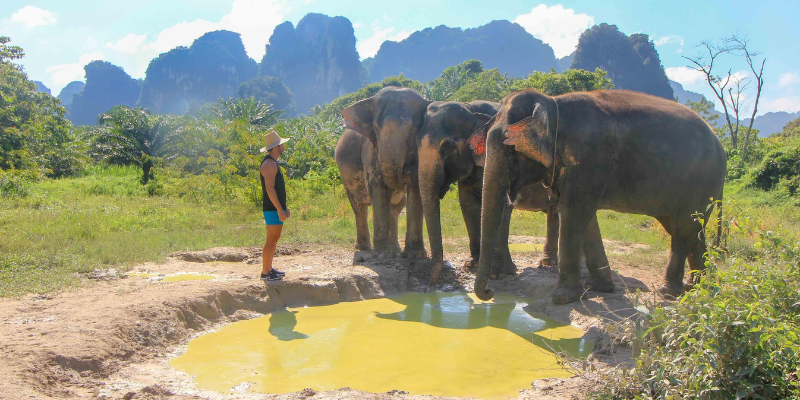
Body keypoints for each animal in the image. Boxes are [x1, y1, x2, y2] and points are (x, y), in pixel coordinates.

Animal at [336, 87, 431, 259]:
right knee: (359, 206)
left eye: (411, 129)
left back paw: (395, 250)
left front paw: (416, 255)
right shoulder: (371, 151)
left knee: (396, 207)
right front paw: (381, 254)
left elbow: (415, 190)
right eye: (376, 128)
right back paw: (365, 248)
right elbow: (378, 190)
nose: (400, 183)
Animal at [417, 100, 559, 284]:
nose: (431, 283)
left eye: (447, 147)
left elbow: (502, 205)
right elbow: (468, 205)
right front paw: (472, 265)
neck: (471, 108)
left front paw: (498, 274)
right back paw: (548, 263)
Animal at [471, 89, 726, 304]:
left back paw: (670, 292)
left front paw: (563, 298)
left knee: (683, 229)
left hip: (701, 182)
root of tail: (720, 144)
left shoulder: (586, 157)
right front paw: (599, 288)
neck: (553, 103)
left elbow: (573, 213)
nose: (490, 292)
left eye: (510, 147)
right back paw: (697, 286)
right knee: (689, 228)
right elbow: (584, 218)